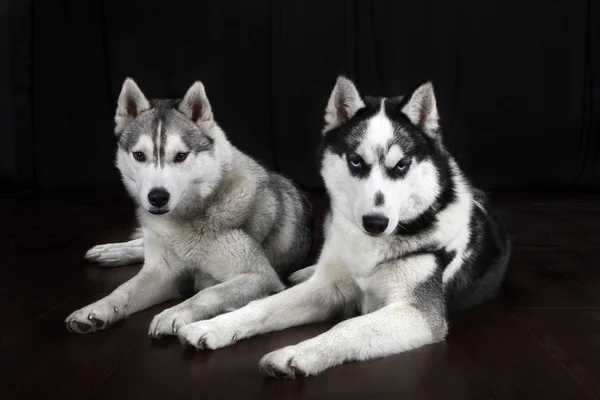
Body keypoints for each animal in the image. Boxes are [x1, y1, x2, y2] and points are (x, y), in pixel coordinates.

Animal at [64, 77, 314, 334]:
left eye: (181, 156)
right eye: (139, 155)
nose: (158, 197)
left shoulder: (260, 277)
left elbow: (208, 292)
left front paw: (174, 313)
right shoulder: (161, 272)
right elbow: (123, 291)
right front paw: (97, 308)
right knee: (141, 245)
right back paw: (111, 251)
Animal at [175, 77, 510, 378]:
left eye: (401, 165)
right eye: (356, 161)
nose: (375, 223)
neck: (370, 248)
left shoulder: (419, 314)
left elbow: (348, 325)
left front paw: (296, 353)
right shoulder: (326, 290)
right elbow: (261, 306)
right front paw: (214, 326)